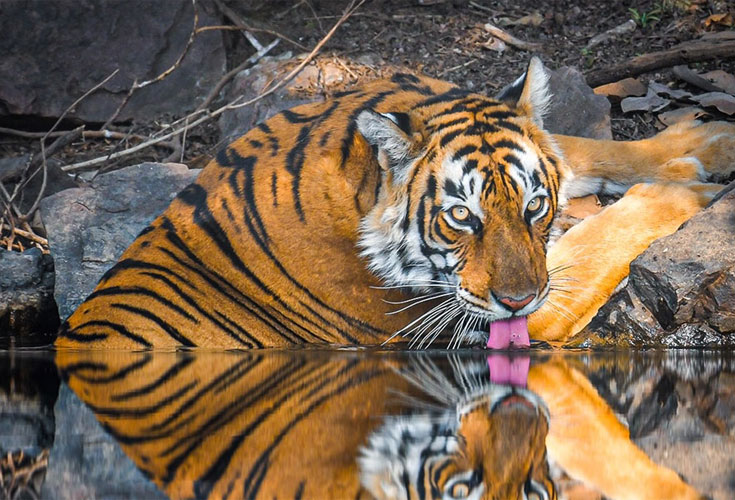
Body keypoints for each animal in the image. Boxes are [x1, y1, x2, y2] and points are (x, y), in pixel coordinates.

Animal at [55, 57, 735, 349]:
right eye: (460, 217)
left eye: (536, 204)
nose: (517, 300)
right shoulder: (486, 324)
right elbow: (596, 241)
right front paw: (686, 185)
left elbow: (584, 147)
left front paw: (707, 142)